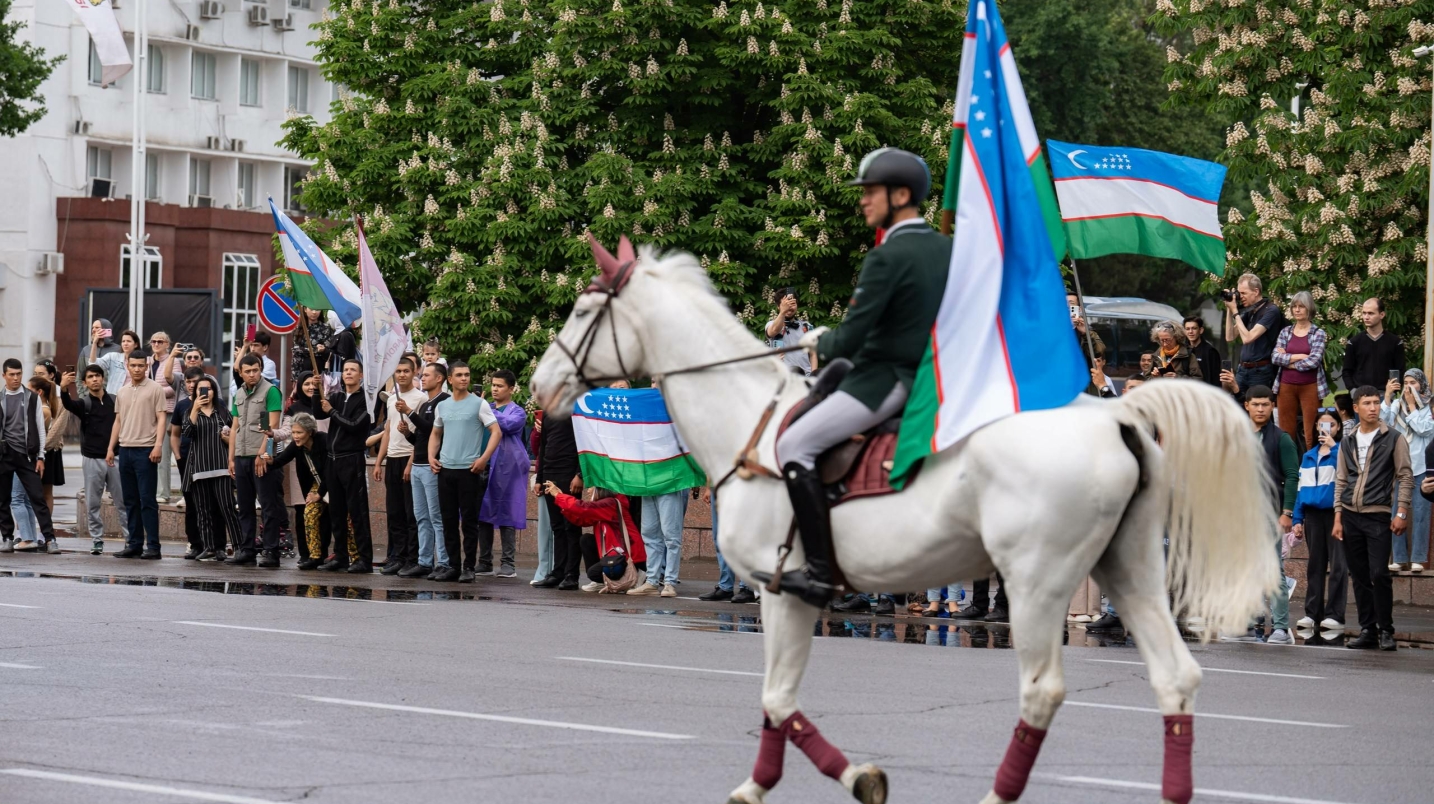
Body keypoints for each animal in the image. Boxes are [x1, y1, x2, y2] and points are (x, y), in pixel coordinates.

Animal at [530, 240, 1279, 802]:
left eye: (582, 309)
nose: (540, 387)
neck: (753, 423)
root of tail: (1116, 411)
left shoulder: (781, 589)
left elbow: (777, 696)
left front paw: (792, 782)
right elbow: (781, 700)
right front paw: (837, 778)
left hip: (1037, 583)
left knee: (1042, 690)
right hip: (1131, 567)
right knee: (1174, 679)